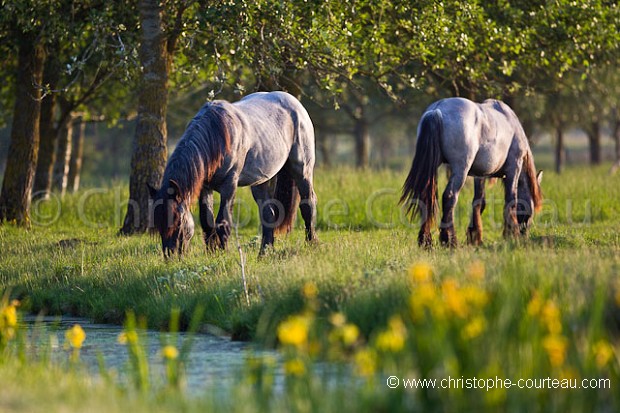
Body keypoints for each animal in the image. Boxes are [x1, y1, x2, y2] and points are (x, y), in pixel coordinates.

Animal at [148, 91, 318, 256]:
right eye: (158, 223)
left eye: (178, 221)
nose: (170, 255)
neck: (216, 137)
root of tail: (295, 103)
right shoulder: (205, 187)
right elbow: (207, 221)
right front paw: (212, 253)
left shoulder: (229, 185)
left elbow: (223, 222)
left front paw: (223, 254)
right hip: (261, 181)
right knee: (268, 213)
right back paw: (263, 253)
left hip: (302, 171)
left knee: (307, 205)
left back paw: (311, 244)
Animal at [400, 97, 540, 246]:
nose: (525, 234)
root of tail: (437, 110)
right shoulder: (514, 167)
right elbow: (511, 199)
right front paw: (511, 234)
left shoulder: (480, 174)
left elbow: (479, 201)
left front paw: (474, 237)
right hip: (461, 169)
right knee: (450, 196)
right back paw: (450, 240)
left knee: (426, 197)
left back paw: (425, 240)